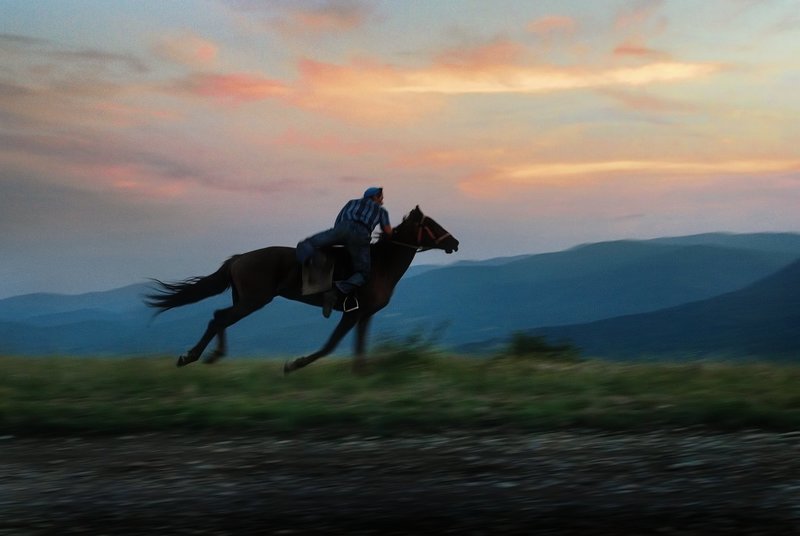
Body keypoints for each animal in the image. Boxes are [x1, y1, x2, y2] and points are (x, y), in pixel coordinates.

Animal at [146, 207, 460, 374]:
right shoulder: (351, 312)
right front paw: (295, 364)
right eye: (431, 225)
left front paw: (361, 376)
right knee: (219, 318)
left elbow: (359, 347)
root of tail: (238, 258)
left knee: (220, 317)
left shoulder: (364, 315)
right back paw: (192, 357)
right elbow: (331, 345)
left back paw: (210, 356)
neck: (379, 264)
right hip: (253, 300)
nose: (454, 242)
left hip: (245, 300)